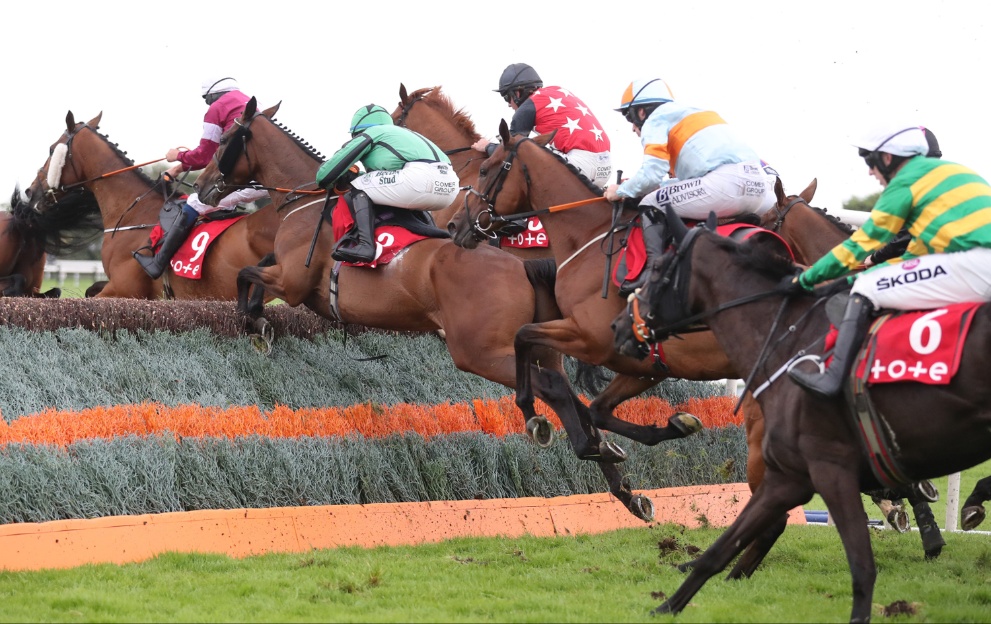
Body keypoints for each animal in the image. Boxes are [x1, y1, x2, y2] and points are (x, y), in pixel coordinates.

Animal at [612, 207, 991, 620]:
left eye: (657, 267)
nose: (618, 326)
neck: (789, 340)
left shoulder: (830, 470)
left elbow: (862, 566)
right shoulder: (788, 476)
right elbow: (720, 549)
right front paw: (667, 605)